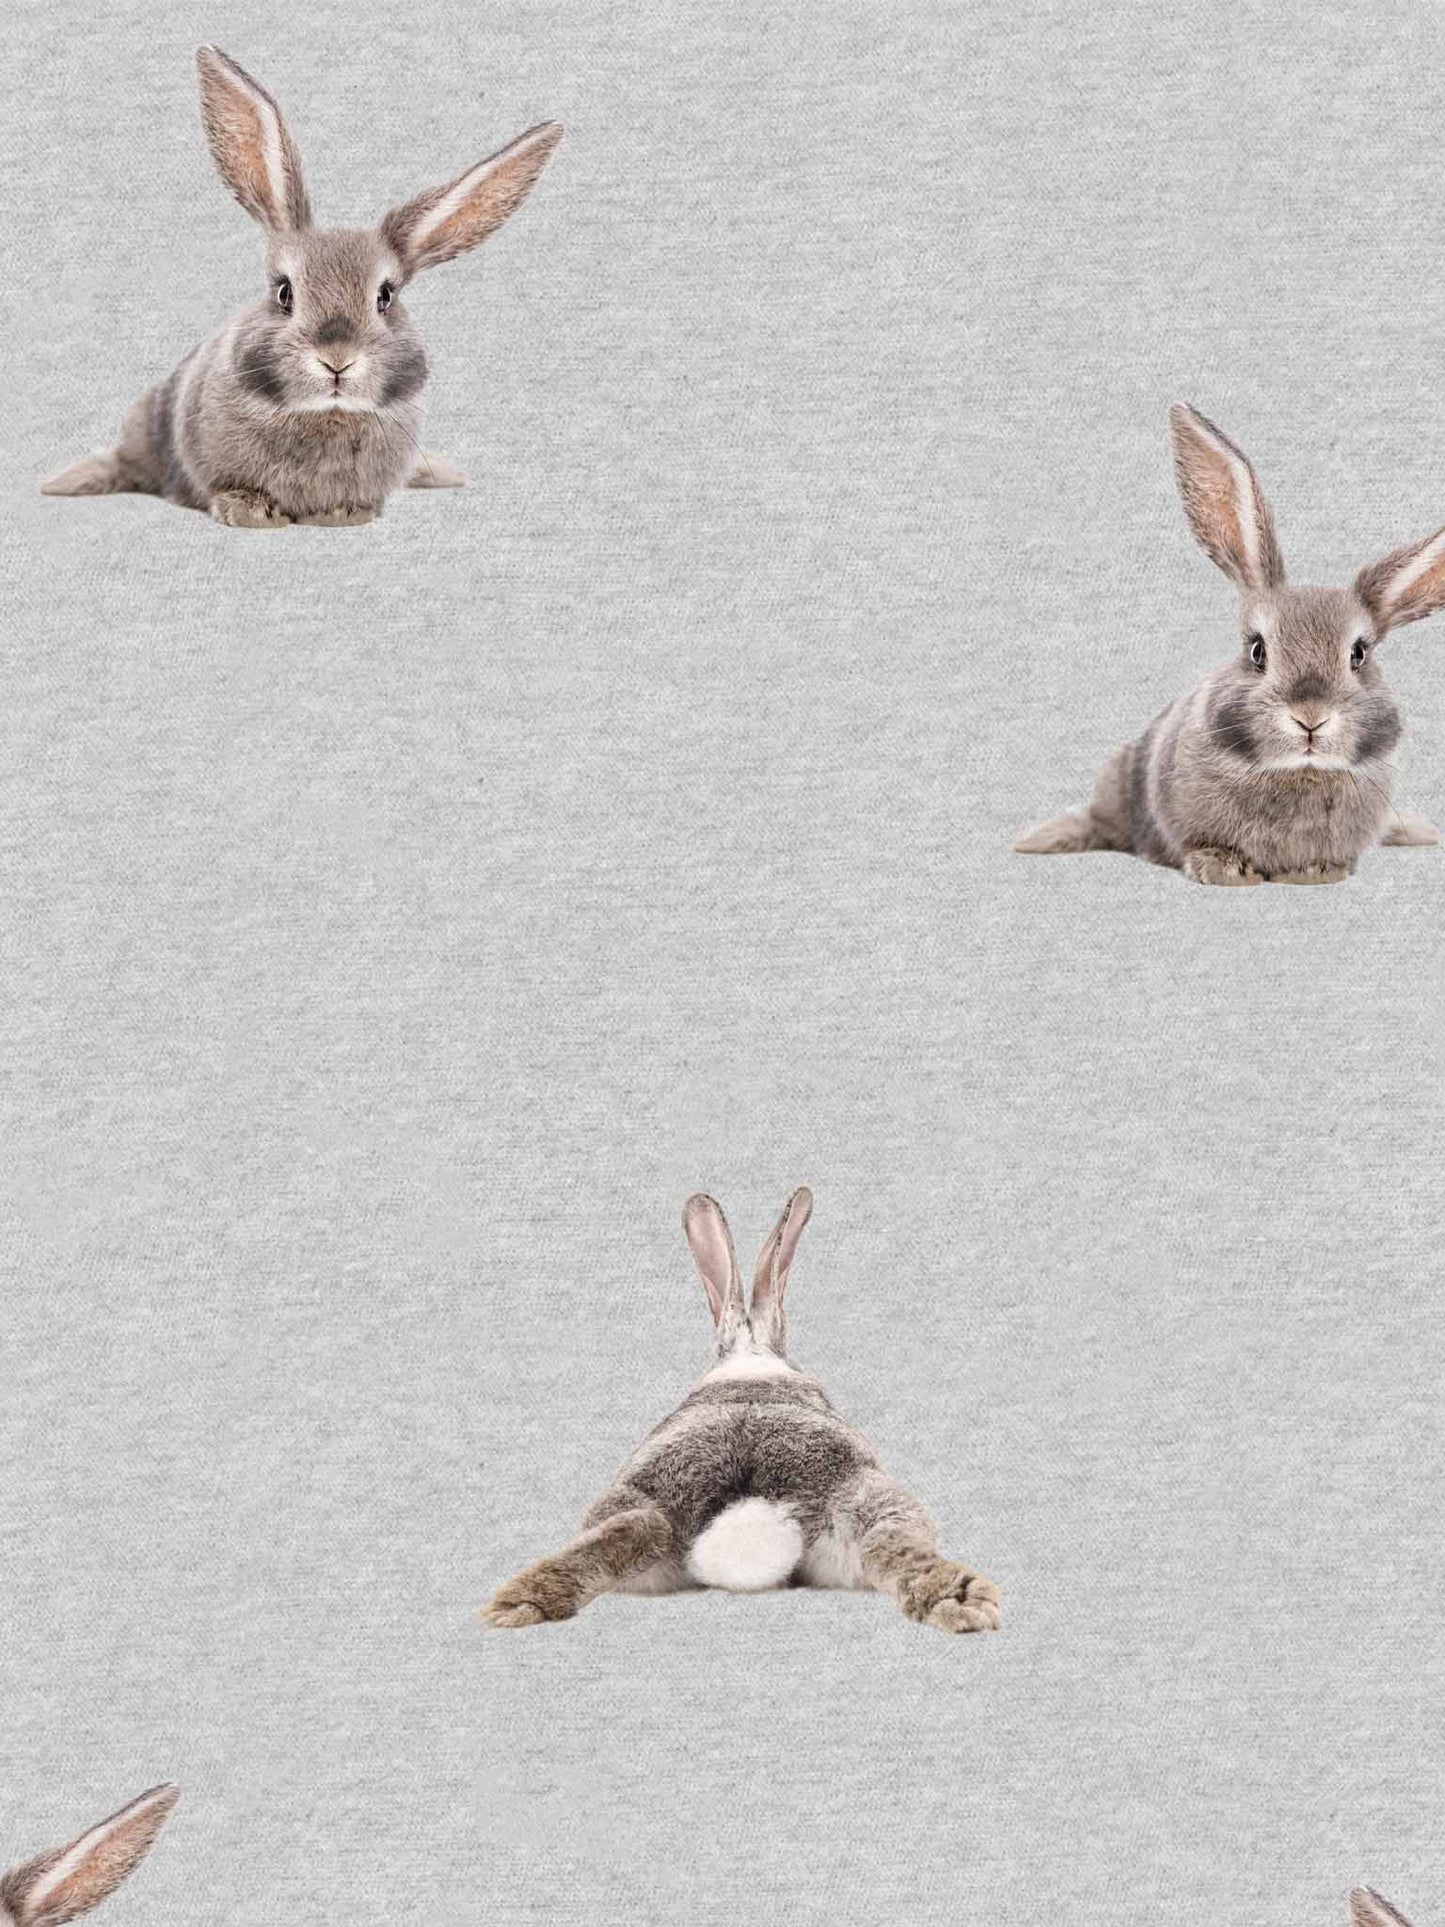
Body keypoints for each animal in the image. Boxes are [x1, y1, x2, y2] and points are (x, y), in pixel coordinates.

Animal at [41, 47, 560, 529]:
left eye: (385, 297)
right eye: (284, 292)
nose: (337, 359)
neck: (324, 414)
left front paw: (344, 513)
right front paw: (248, 512)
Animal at [481, 1188, 1001, 1636]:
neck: (750, 1358)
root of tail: (750, 1512)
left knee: (638, 1528)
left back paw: (516, 1606)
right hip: (872, 1499)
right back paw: (964, 1600)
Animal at [1015, 404, 1444, 884]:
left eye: (1358, 654)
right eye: (1257, 651)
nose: (1309, 718)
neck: (1297, 772)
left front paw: (1317, 871)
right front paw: (1222, 870)